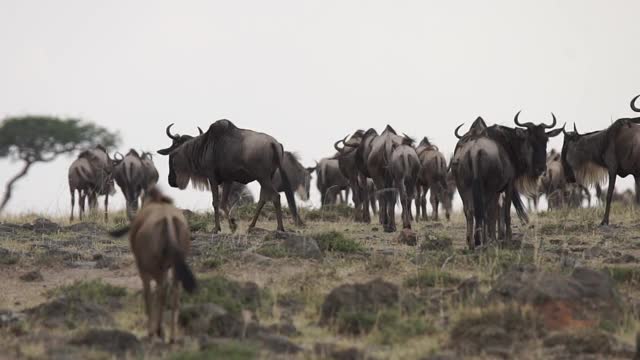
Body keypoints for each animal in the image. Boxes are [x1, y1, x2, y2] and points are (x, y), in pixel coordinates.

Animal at [110, 187, 196, 342]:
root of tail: (168, 218)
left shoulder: (143, 270)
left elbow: (148, 295)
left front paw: (152, 330)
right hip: (175, 267)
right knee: (174, 293)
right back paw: (171, 336)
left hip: (155, 268)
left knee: (161, 290)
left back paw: (157, 331)